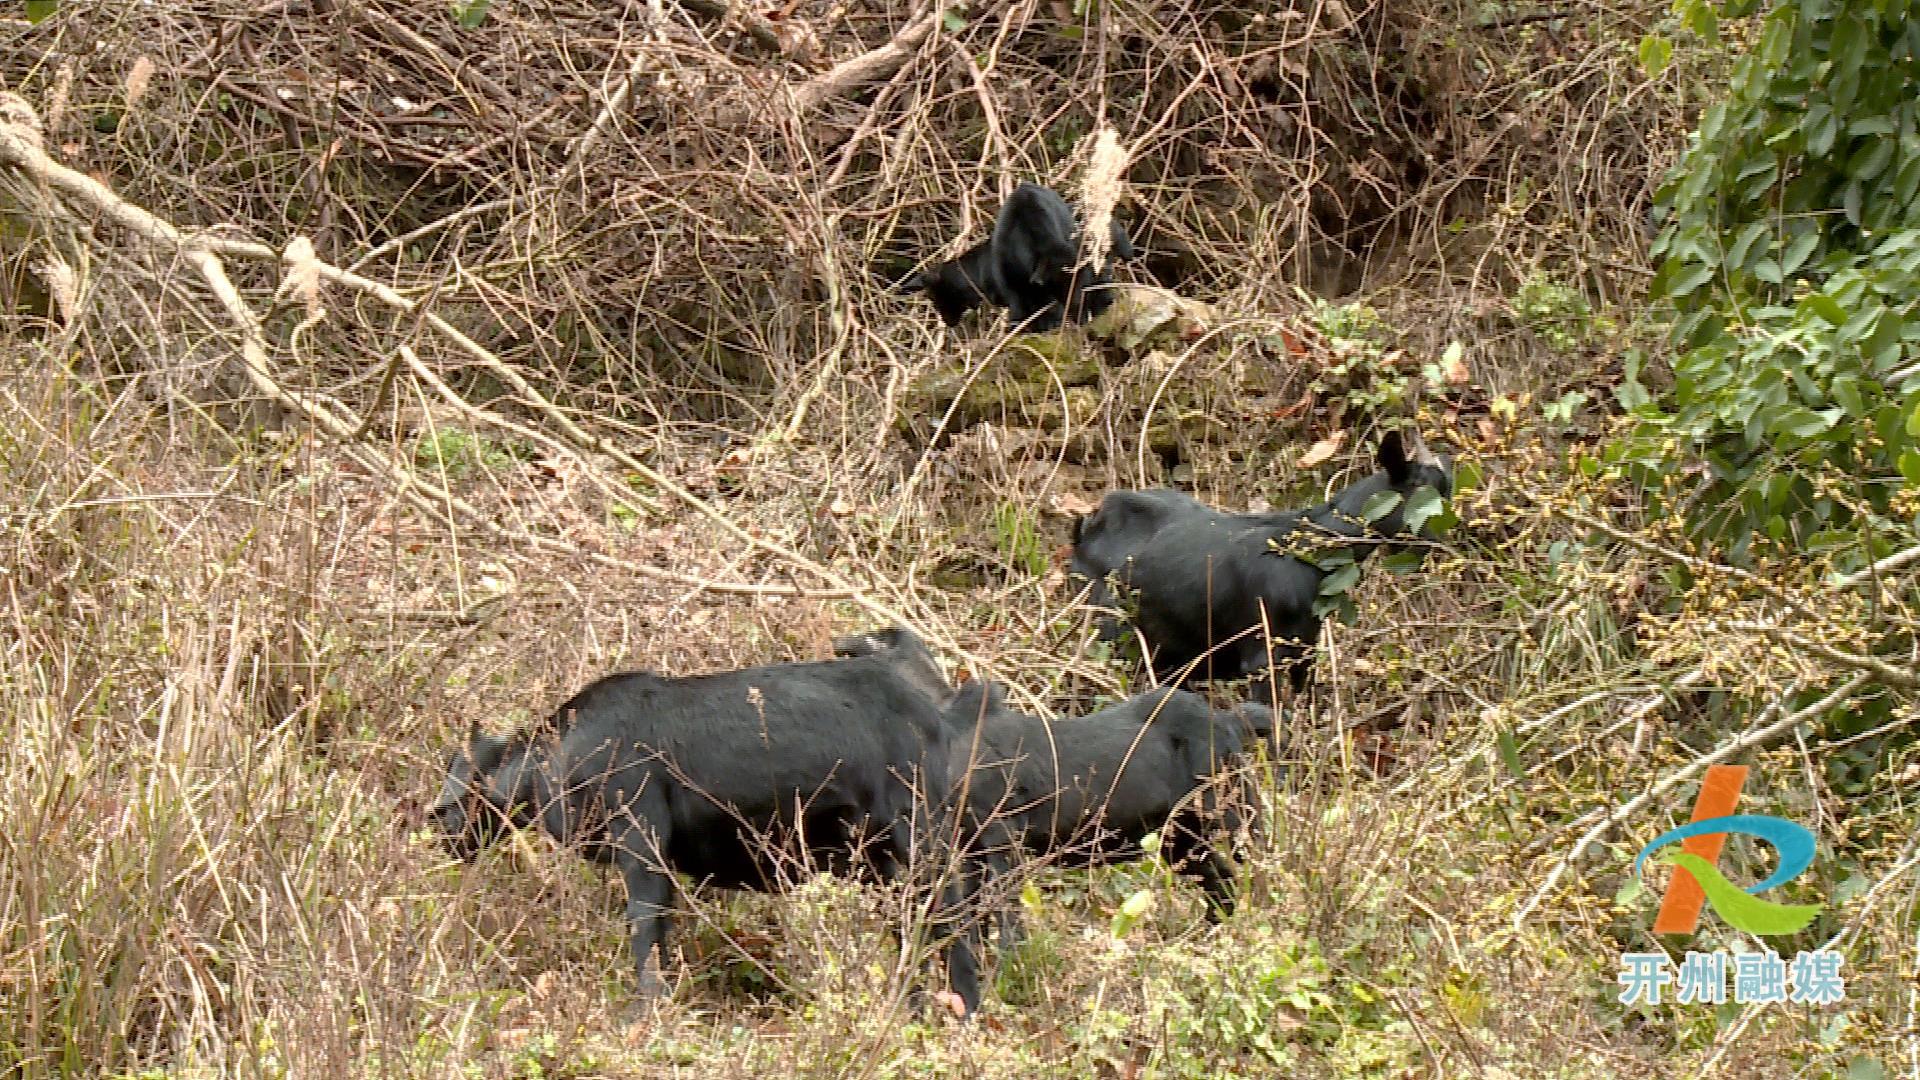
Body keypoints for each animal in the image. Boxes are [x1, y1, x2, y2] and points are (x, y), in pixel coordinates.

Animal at [428, 626, 983, 1014]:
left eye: (461, 779)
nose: (439, 826)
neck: (558, 760)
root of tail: (941, 711)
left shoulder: (641, 841)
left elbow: (645, 928)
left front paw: (644, 1011)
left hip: (919, 839)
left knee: (953, 921)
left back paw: (966, 1011)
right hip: (879, 859)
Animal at [1075, 426, 1443, 680]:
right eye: (1417, 487)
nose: (1442, 542)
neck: (1306, 550)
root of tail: (1088, 523)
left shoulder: (1304, 650)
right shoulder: (1262, 656)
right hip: (1112, 633)